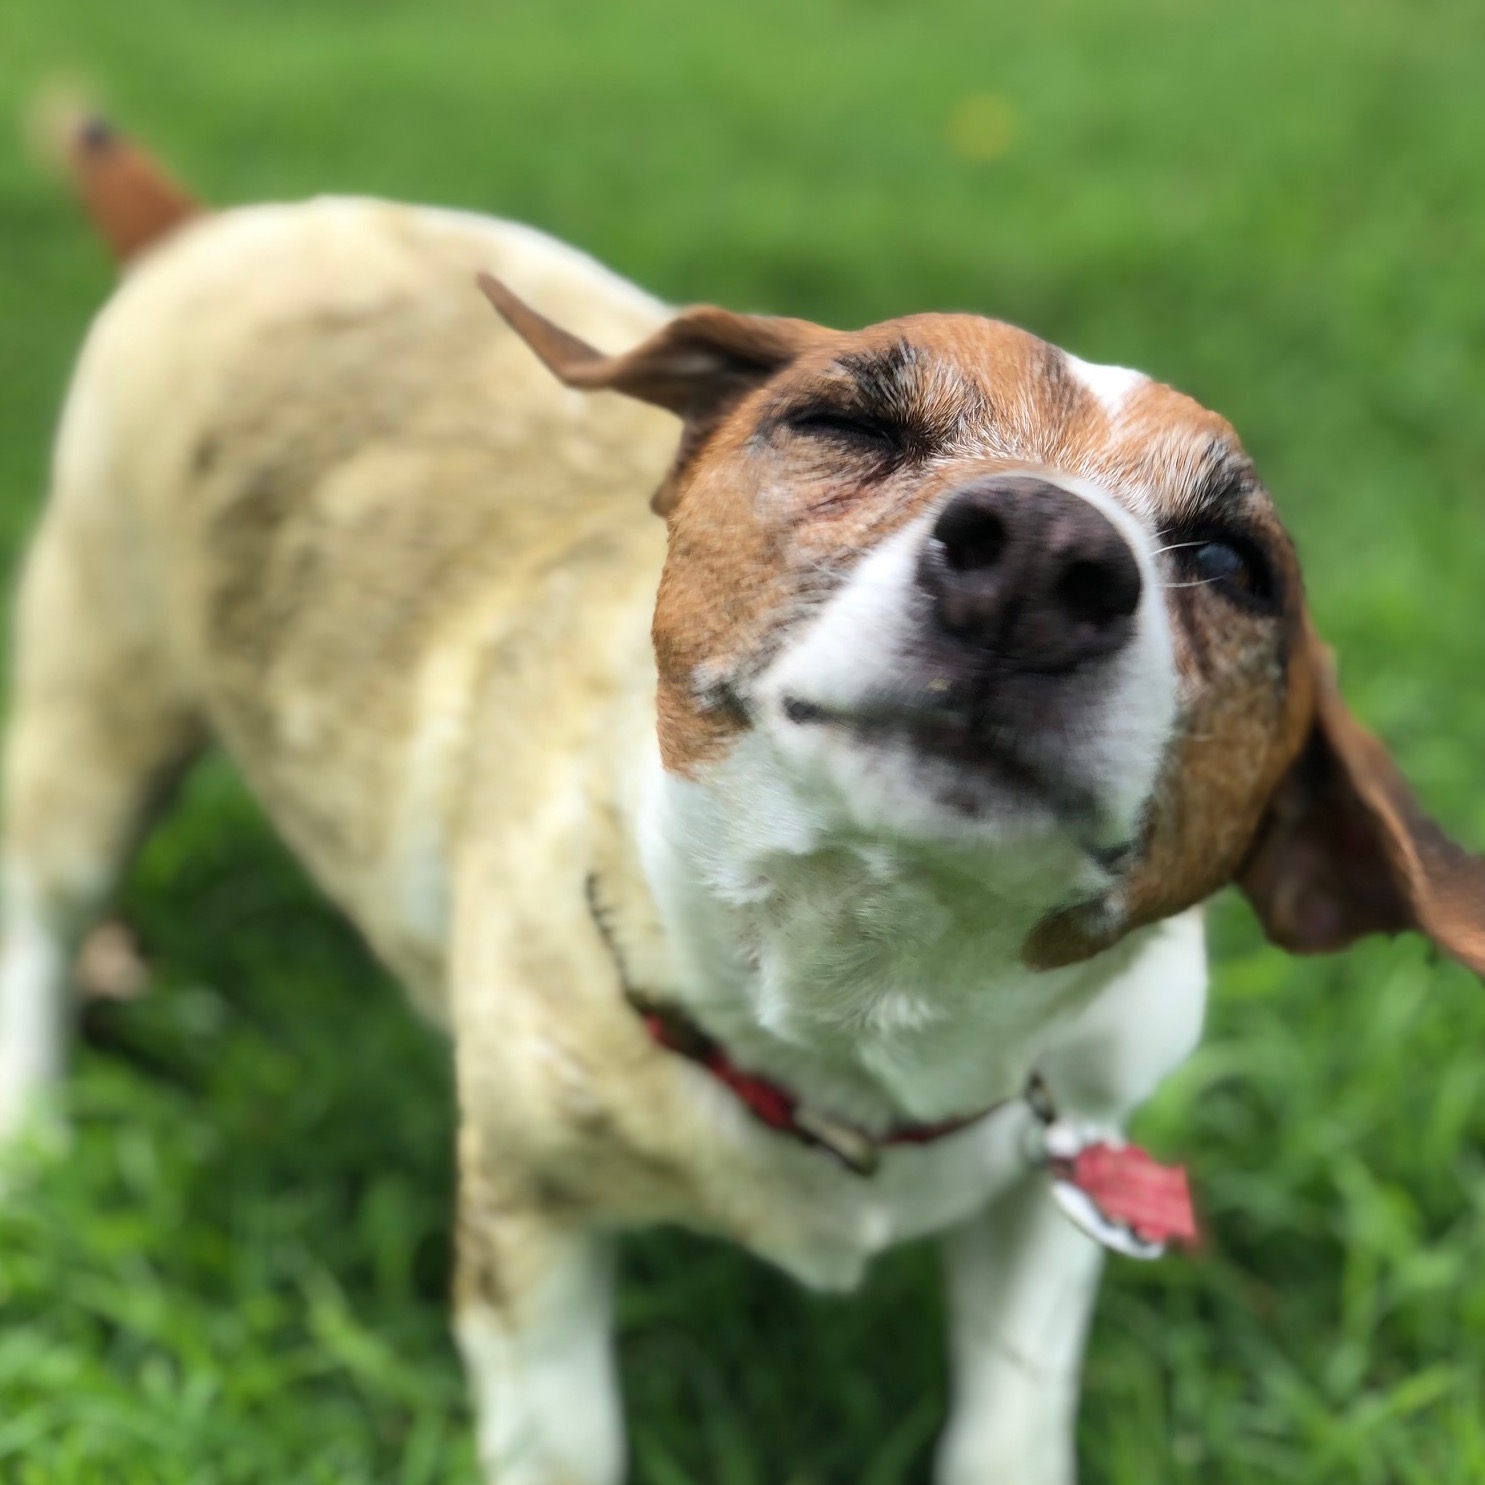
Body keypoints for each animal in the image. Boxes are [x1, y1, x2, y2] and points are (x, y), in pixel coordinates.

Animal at [2, 118, 1485, 1485]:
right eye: (841, 421)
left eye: (1233, 564)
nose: (1042, 557)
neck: (859, 1012)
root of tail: (210, 230)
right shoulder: (530, 1223)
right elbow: (563, 1440)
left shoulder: (1056, 1191)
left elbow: (1008, 1421)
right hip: (93, 695)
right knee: (43, 909)